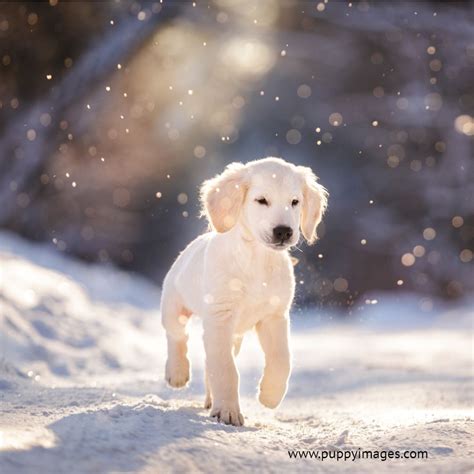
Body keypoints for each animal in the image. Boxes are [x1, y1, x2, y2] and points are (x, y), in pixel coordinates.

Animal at [161, 157, 328, 428]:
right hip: (174, 305)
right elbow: (226, 369)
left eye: (295, 202)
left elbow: (282, 359)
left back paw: (210, 399)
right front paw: (228, 411)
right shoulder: (220, 317)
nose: (284, 231)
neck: (256, 259)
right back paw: (177, 372)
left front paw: (270, 395)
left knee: (208, 361)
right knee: (177, 335)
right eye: (261, 200)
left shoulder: (274, 316)